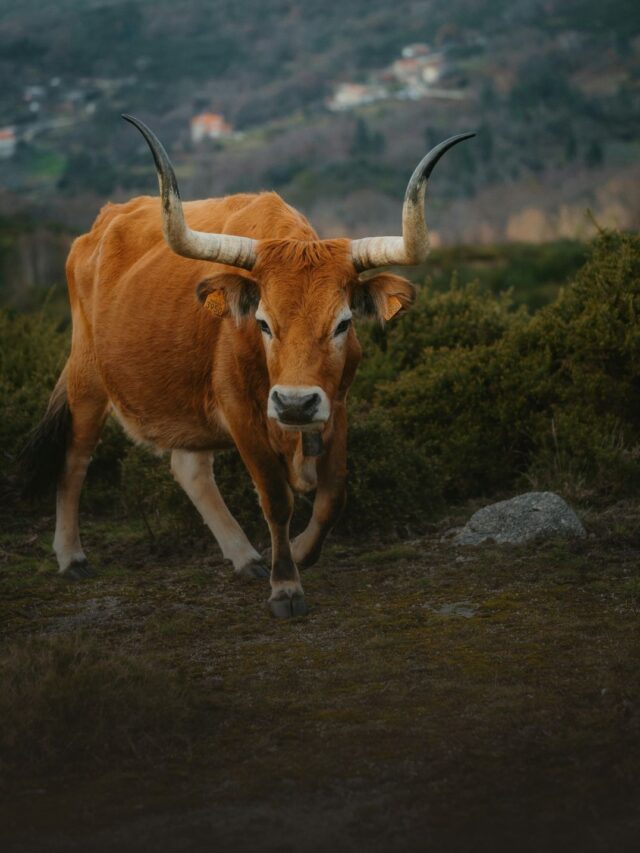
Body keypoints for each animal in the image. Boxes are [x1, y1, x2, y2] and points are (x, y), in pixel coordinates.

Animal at [22, 116, 472, 616]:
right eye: (262, 322)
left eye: (343, 323)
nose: (294, 404)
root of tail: (97, 229)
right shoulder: (241, 412)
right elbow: (276, 497)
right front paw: (286, 585)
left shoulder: (336, 405)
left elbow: (333, 495)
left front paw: (299, 551)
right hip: (87, 381)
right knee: (74, 460)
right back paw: (71, 557)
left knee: (189, 469)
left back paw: (245, 557)